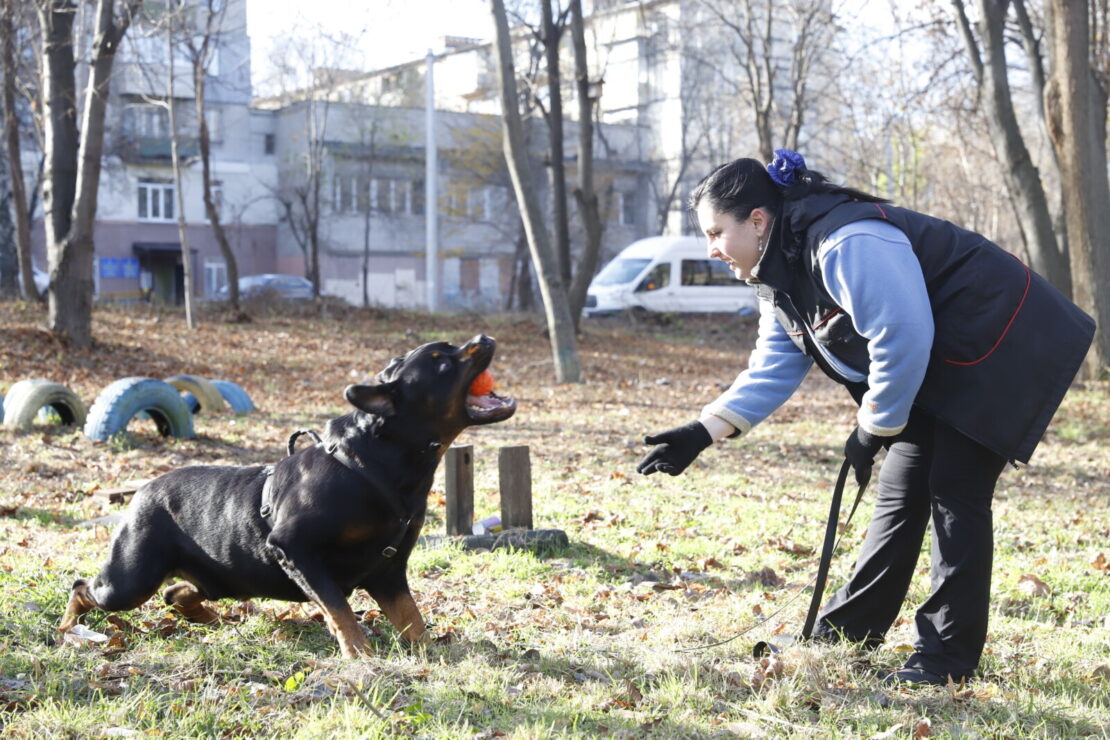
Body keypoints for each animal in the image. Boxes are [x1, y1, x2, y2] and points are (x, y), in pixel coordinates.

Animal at [62, 339, 521, 656]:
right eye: (443, 361)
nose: (484, 336)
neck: (378, 463)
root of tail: (142, 490)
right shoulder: (296, 549)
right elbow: (339, 610)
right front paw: (361, 655)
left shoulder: (388, 571)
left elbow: (411, 617)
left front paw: (429, 652)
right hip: (130, 578)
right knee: (86, 586)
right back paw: (69, 626)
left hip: (219, 578)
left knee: (177, 593)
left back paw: (203, 615)